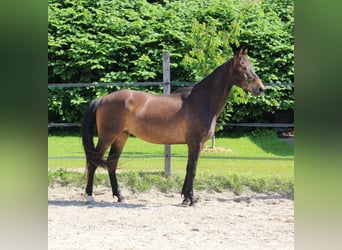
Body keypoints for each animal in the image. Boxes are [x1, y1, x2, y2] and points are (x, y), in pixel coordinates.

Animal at [81, 48, 264, 205]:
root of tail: (102, 99)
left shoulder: (195, 144)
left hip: (121, 137)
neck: (202, 101)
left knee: (111, 163)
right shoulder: (195, 143)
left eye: (252, 66)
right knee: (93, 162)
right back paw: (89, 196)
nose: (261, 88)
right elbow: (192, 169)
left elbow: (189, 169)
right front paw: (191, 199)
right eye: (243, 67)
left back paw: (120, 196)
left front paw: (185, 197)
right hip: (107, 136)